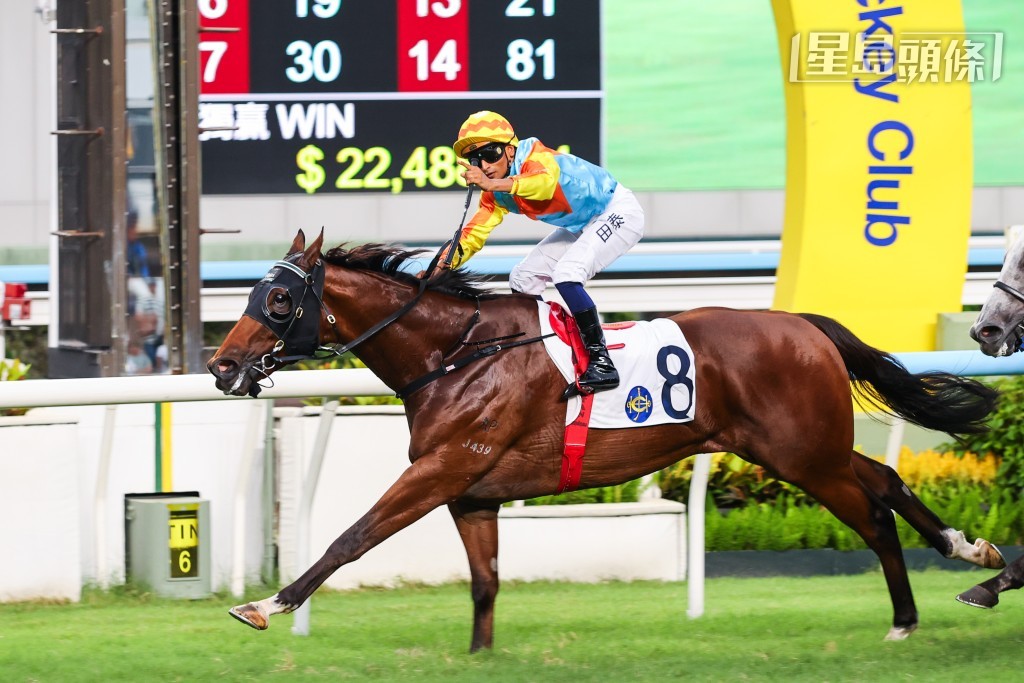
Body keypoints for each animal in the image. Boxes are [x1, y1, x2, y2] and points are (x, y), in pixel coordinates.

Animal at [209, 230, 1004, 650]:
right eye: (252, 296)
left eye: (278, 300)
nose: (221, 365)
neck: (456, 354)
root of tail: (804, 324)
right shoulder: (472, 493)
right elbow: (485, 579)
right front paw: (479, 654)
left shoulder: (441, 470)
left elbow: (352, 536)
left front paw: (266, 605)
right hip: (804, 447)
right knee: (886, 480)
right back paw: (971, 553)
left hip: (802, 454)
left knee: (871, 512)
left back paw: (906, 618)